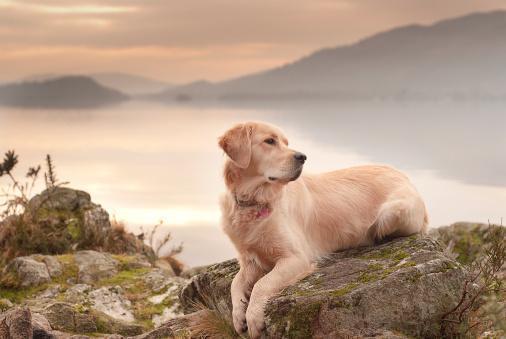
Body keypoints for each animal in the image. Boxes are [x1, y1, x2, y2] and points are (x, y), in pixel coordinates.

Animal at [217, 121, 426, 338]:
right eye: (269, 141)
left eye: (286, 142)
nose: (302, 157)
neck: (253, 201)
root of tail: (403, 174)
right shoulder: (250, 260)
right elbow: (235, 283)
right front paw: (238, 315)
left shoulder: (296, 258)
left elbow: (262, 284)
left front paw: (253, 317)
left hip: (391, 213)